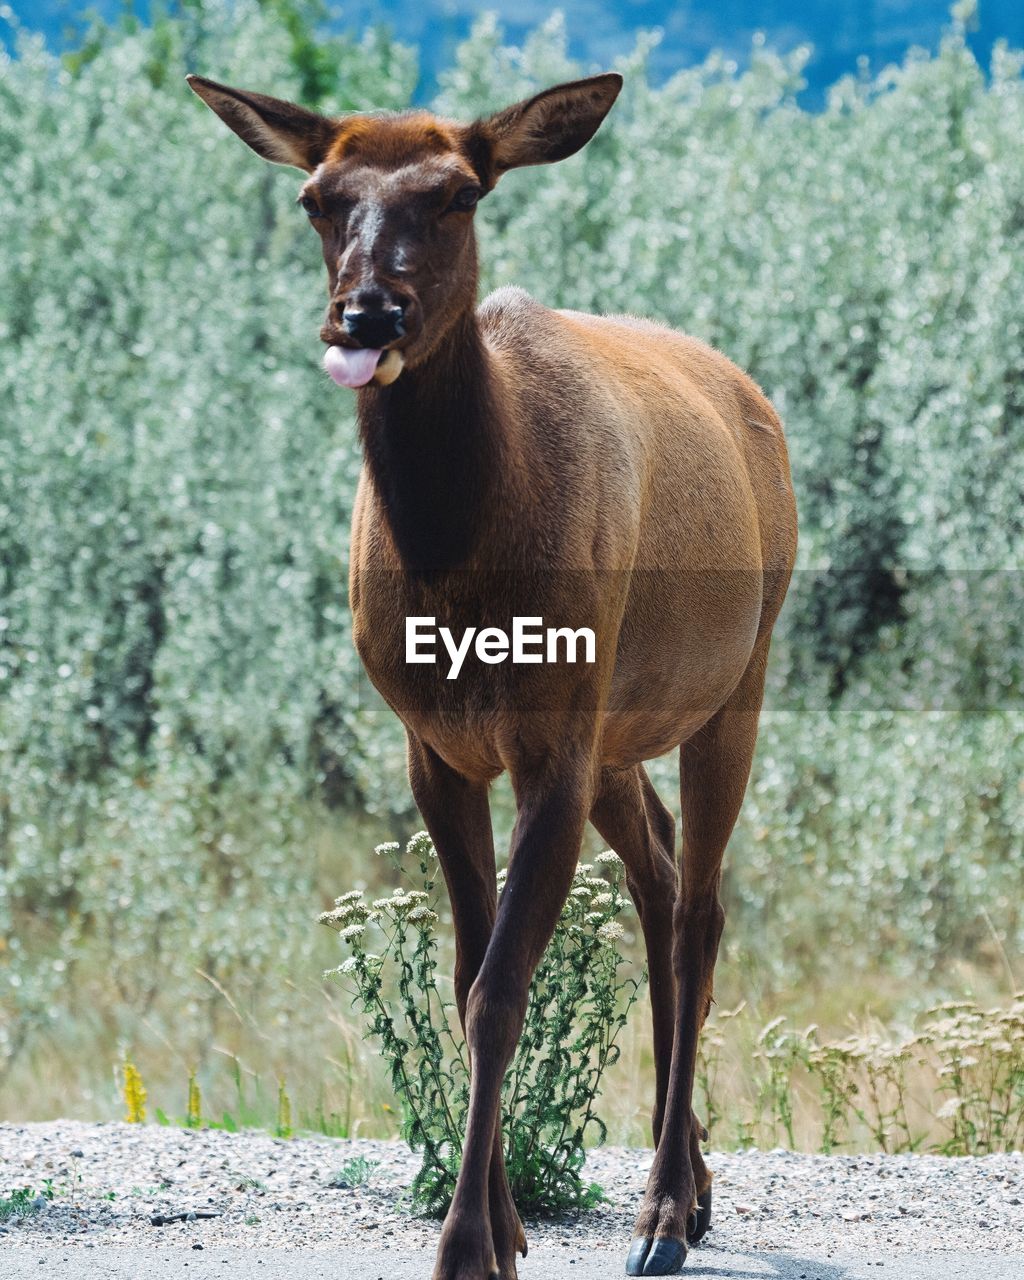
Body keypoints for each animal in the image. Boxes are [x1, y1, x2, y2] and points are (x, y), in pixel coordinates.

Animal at [189, 70, 798, 1280]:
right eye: (317, 198)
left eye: (460, 192)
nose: (368, 314)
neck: (463, 566)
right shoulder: (437, 745)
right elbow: (470, 968)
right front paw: (507, 1219)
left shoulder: (551, 742)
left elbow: (500, 991)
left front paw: (472, 1241)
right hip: (619, 729)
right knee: (660, 876)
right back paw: (695, 1184)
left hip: (735, 677)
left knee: (700, 907)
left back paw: (666, 1208)